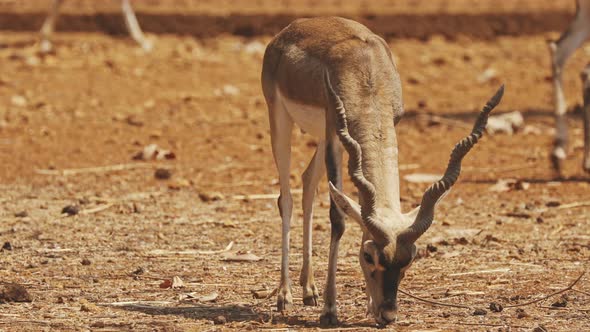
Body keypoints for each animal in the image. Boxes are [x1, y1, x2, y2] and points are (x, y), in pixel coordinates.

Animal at [262, 16, 506, 326]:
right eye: (368, 257)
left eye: (409, 258)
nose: (388, 313)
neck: (367, 77)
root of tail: (290, 29)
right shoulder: (335, 131)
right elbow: (339, 219)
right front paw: (330, 310)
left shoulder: (382, 127)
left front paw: (367, 305)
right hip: (281, 120)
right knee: (286, 199)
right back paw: (285, 296)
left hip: (323, 139)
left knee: (307, 182)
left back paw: (309, 291)